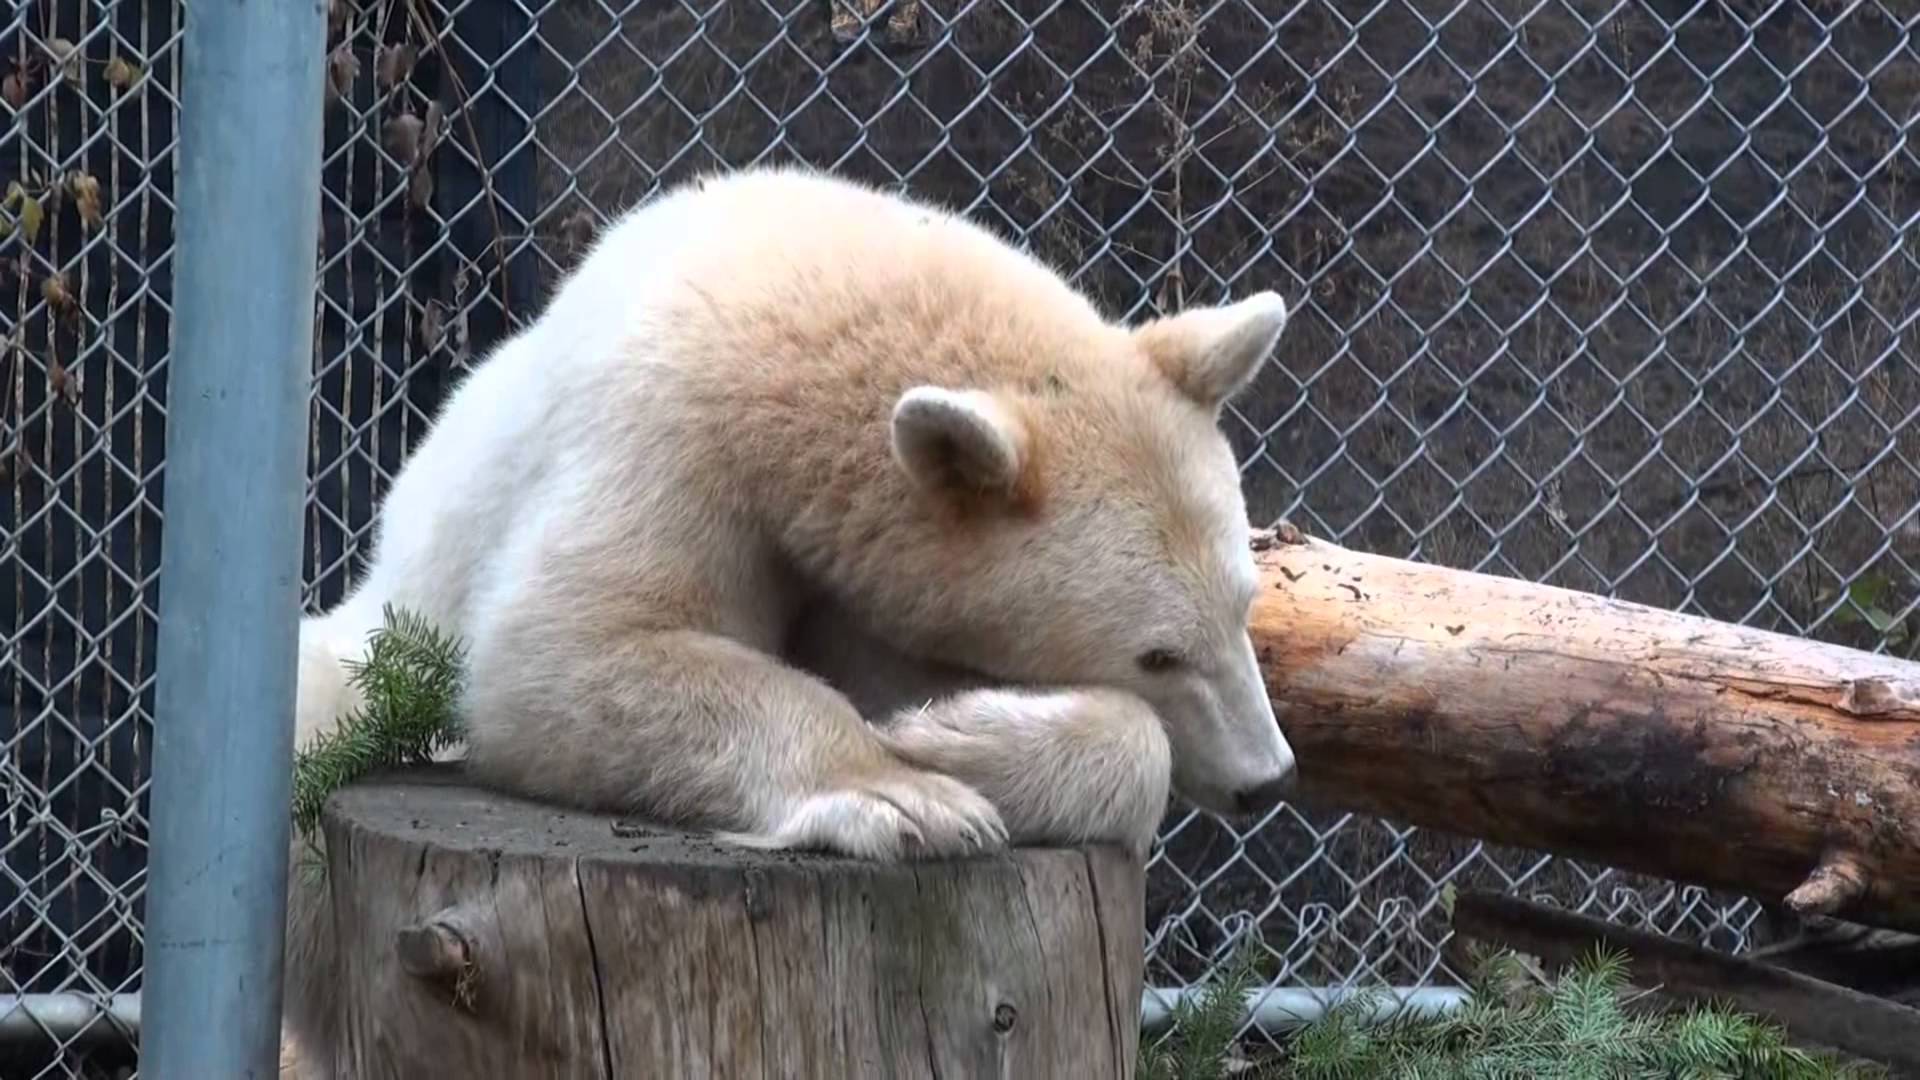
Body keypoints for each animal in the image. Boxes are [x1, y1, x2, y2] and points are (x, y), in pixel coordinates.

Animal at [279, 164, 1297, 1076]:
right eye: (1159, 654)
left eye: (1247, 603)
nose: (1266, 777)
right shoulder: (666, 428)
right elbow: (560, 649)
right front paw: (909, 796)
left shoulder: (862, 582)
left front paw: (956, 737)